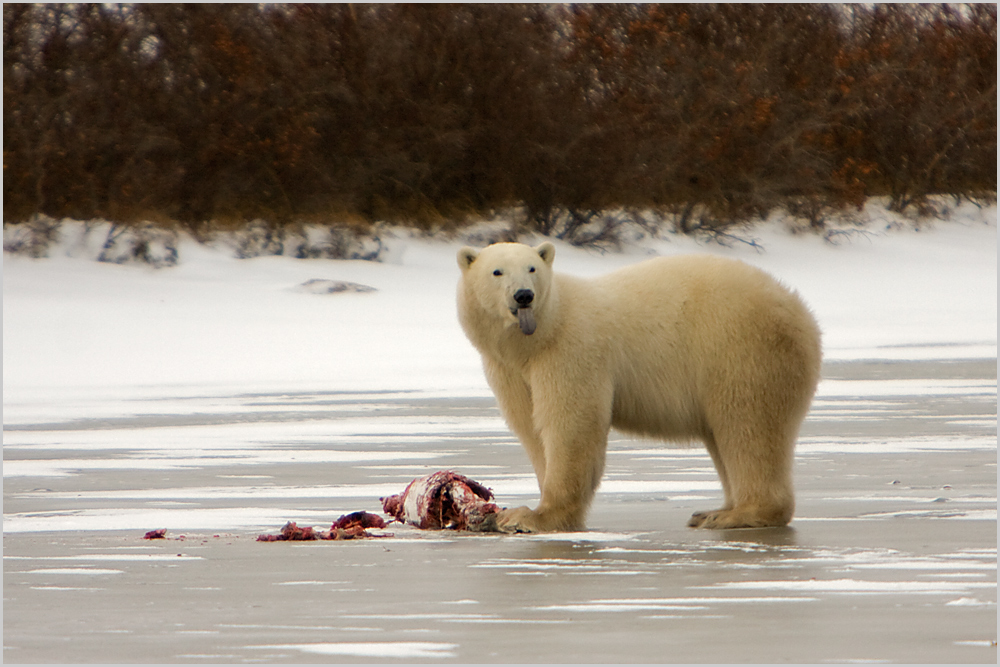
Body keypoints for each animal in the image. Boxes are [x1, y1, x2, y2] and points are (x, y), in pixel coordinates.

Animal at [458, 241, 820, 532]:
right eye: (497, 271)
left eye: (532, 268)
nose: (524, 296)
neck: (540, 335)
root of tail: (802, 314)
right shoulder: (509, 370)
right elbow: (531, 429)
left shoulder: (571, 352)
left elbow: (570, 425)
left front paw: (530, 517)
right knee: (726, 435)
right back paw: (712, 511)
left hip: (741, 349)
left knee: (747, 426)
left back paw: (735, 515)